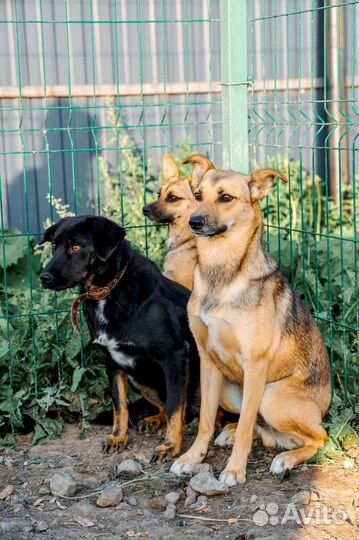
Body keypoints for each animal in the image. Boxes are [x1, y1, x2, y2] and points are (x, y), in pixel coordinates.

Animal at [40, 215, 201, 460]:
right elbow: (119, 405)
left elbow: (176, 406)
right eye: (54, 246)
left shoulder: (174, 355)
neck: (108, 291)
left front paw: (170, 446)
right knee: (166, 407)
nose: (44, 277)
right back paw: (154, 419)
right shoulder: (113, 361)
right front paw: (118, 437)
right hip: (138, 379)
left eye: (76, 247)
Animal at [170, 162, 334, 484]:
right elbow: (205, 421)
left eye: (226, 198)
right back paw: (230, 433)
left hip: (271, 395)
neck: (221, 275)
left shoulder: (255, 365)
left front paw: (234, 470)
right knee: (260, 427)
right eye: (197, 195)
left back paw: (286, 459)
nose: (195, 222)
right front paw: (192, 458)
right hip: (227, 388)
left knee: (318, 438)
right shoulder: (207, 360)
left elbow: (247, 424)